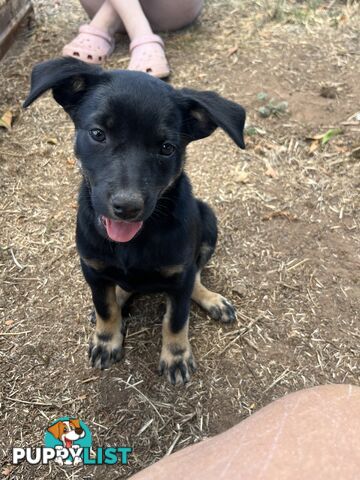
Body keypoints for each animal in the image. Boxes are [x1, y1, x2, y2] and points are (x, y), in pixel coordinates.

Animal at [24, 57, 245, 386]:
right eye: (98, 134)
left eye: (167, 148)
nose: (127, 207)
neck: (136, 240)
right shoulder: (92, 267)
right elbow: (106, 308)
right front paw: (106, 339)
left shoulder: (179, 274)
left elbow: (176, 319)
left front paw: (176, 356)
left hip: (208, 222)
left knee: (196, 276)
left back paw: (210, 299)